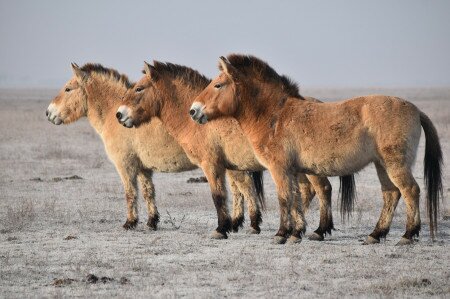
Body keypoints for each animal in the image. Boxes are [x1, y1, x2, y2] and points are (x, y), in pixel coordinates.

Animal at [46, 63, 268, 233]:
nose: (48, 112)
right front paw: (152, 222)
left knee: (244, 188)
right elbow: (147, 192)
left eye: (68, 89)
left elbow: (130, 193)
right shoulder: (143, 169)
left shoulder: (125, 166)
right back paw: (239, 223)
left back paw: (250, 224)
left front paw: (130, 223)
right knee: (239, 190)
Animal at [116, 61, 356, 241]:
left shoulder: (212, 165)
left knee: (323, 190)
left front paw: (221, 229)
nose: (119, 114)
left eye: (139, 88)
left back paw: (318, 231)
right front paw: (242, 224)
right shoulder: (233, 167)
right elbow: (241, 192)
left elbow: (219, 196)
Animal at [190, 54, 442, 246]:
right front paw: (296, 233)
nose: (193, 110)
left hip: (394, 164)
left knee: (410, 191)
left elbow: (285, 199)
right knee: (391, 194)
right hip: (381, 165)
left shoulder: (280, 169)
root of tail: (416, 109)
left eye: (218, 85)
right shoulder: (294, 171)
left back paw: (407, 235)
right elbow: (296, 199)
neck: (275, 117)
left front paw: (281, 234)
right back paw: (375, 235)